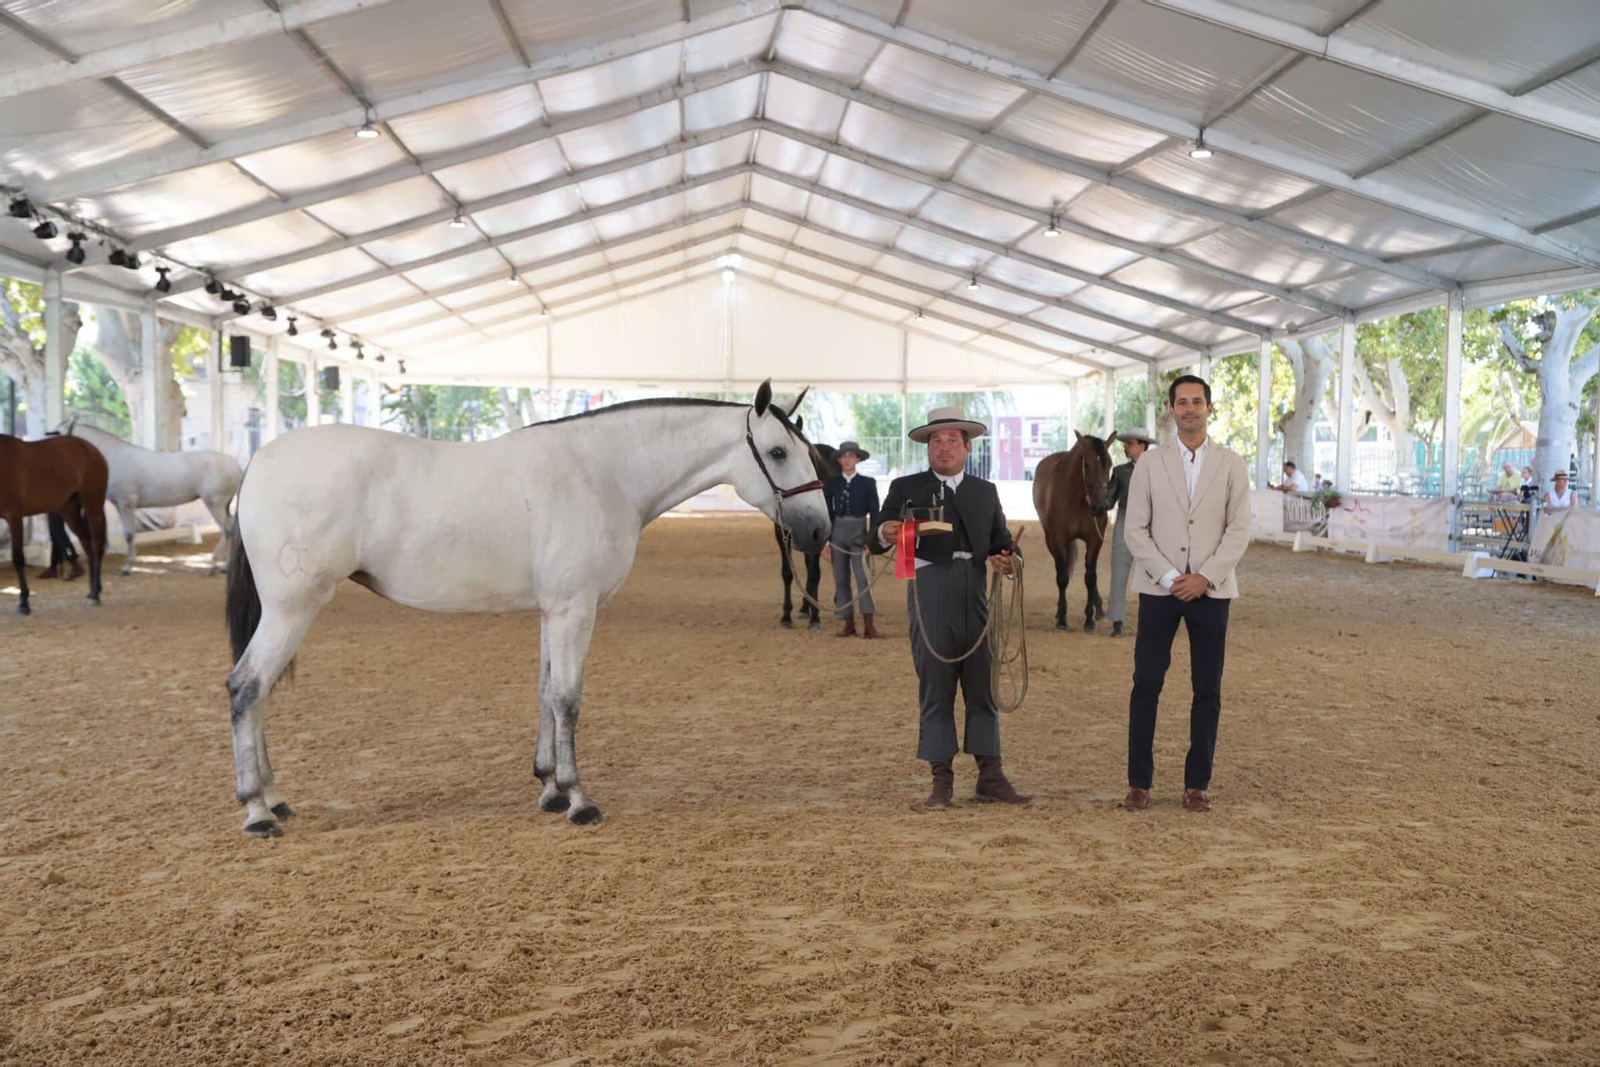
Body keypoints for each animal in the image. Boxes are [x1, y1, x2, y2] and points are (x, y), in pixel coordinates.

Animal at [0, 433, 109, 615]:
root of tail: (92, 449)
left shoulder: (14, 517)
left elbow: (18, 558)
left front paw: (24, 603)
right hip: (69, 511)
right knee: (87, 545)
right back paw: (93, 590)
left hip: (93, 505)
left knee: (96, 546)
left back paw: (94, 595)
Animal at [58, 420, 243, 576]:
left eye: (56, 433)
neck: (115, 459)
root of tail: (237, 467)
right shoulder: (121, 506)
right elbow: (129, 534)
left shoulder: (126, 504)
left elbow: (129, 535)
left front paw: (127, 567)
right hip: (224, 505)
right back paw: (225, 567)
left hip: (215, 504)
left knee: (227, 530)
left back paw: (214, 564)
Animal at [223, 381, 830, 837]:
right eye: (778, 452)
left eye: (809, 452)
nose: (818, 532)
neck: (602, 472)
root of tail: (258, 462)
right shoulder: (574, 609)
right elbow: (567, 699)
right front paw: (580, 799)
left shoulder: (552, 610)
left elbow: (544, 692)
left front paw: (550, 787)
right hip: (292, 608)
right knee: (246, 687)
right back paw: (257, 811)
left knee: (257, 692)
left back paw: (273, 797)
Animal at [775, 431, 840, 630]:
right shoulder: (782, 534)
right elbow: (787, 572)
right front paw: (786, 616)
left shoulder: (819, 533)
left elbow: (814, 573)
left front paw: (816, 618)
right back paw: (805, 607)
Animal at [1032, 431, 1114, 632]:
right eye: (1087, 464)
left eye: (1109, 464)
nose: (1100, 506)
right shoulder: (1059, 539)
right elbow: (1062, 577)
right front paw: (1062, 618)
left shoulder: (1095, 540)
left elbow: (1090, 578)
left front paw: (1089, 620)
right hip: (1050, 540)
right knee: (1060, 568)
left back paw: (1098, 608)